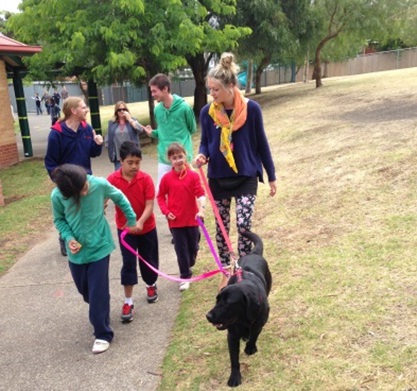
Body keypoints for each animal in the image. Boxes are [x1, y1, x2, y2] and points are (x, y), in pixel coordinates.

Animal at [206, 231, 272, 388]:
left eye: (228, 303)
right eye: (217, 300)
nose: (208, 316)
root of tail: (253, 253)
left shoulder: (259, 322)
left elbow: (254, 335)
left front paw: (250, 348)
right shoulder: (232, 336)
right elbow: (234, 360)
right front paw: (234, 377)